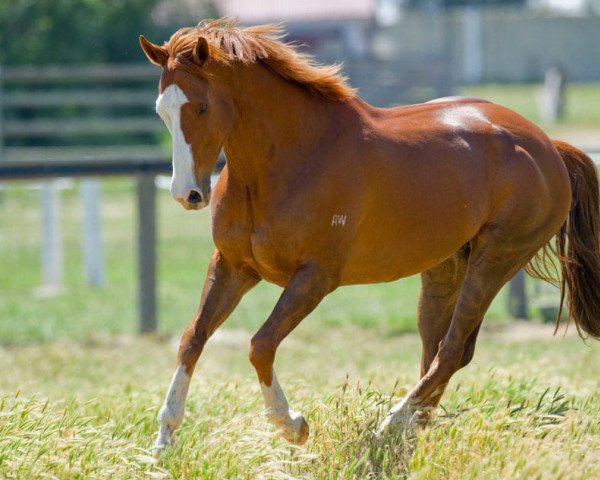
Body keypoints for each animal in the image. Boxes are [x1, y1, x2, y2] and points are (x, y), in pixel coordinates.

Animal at [139, 19, 600, 454]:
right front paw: (164, 440)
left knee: (451, 350)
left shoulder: (315, 278)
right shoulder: (234, 267)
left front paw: (292, 425)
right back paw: (412, 431)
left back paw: (391, 426)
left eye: (201, 107)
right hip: (446, 267)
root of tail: (549, 146)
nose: (187, 194)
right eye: (162, 110)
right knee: (441, 351)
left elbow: (261, 344)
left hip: (496, 259)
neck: (288, 160)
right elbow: (192, 338)